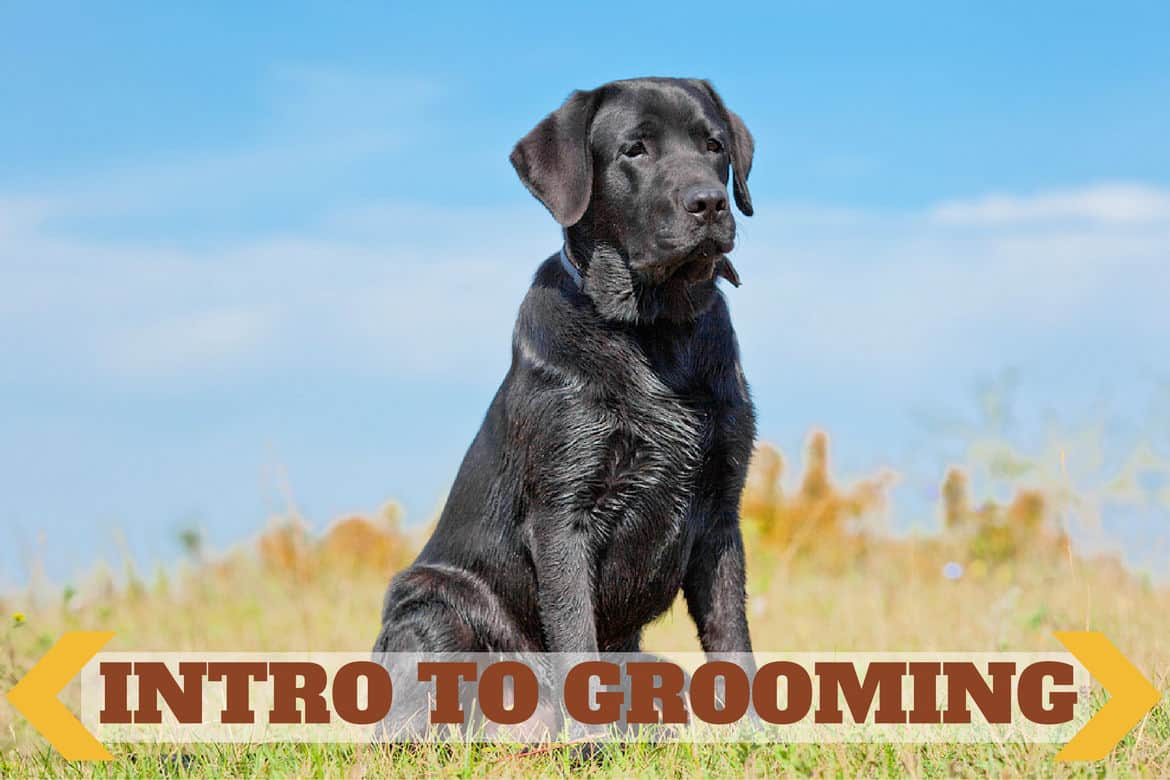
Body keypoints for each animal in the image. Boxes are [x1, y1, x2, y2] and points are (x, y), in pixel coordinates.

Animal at [374, 77, 758, 664]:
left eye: (713, 145)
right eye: (634, 149)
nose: (710, 202)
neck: (656, 330)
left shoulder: (720, 514)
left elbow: (733, 639)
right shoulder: (563, 515)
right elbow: (576, 639)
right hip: (433, 605)